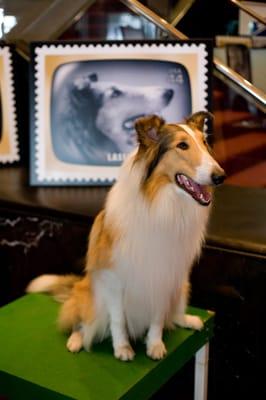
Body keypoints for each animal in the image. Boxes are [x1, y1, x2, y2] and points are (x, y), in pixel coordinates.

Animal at [27, 111, 224, 360]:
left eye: (205, 143)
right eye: (182, 145)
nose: (220, 176)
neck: (162, 203)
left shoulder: (164, 275)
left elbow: (158, 318)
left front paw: (154, 345)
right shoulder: (114, 278)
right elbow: (118, 320)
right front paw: (122, 348)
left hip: (181, 286)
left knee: (172, 313)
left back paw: (187, 319)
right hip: (91, 294)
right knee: (82, 320)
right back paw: (76, 339)